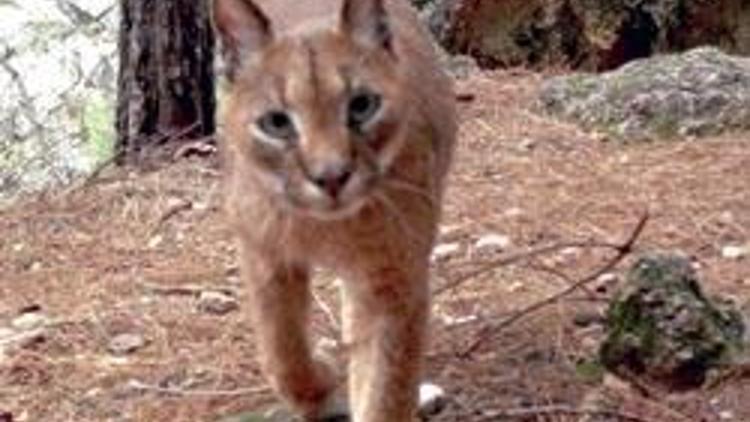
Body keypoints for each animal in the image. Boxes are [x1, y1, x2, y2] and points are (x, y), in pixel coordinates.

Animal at [213, 0, 458, 418]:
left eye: (361, 106)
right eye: (276, 123)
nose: (331, 177)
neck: (323, 227)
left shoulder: (394, 277)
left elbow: (386, 389)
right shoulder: (263, 254)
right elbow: (281, 347)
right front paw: (317, 387)